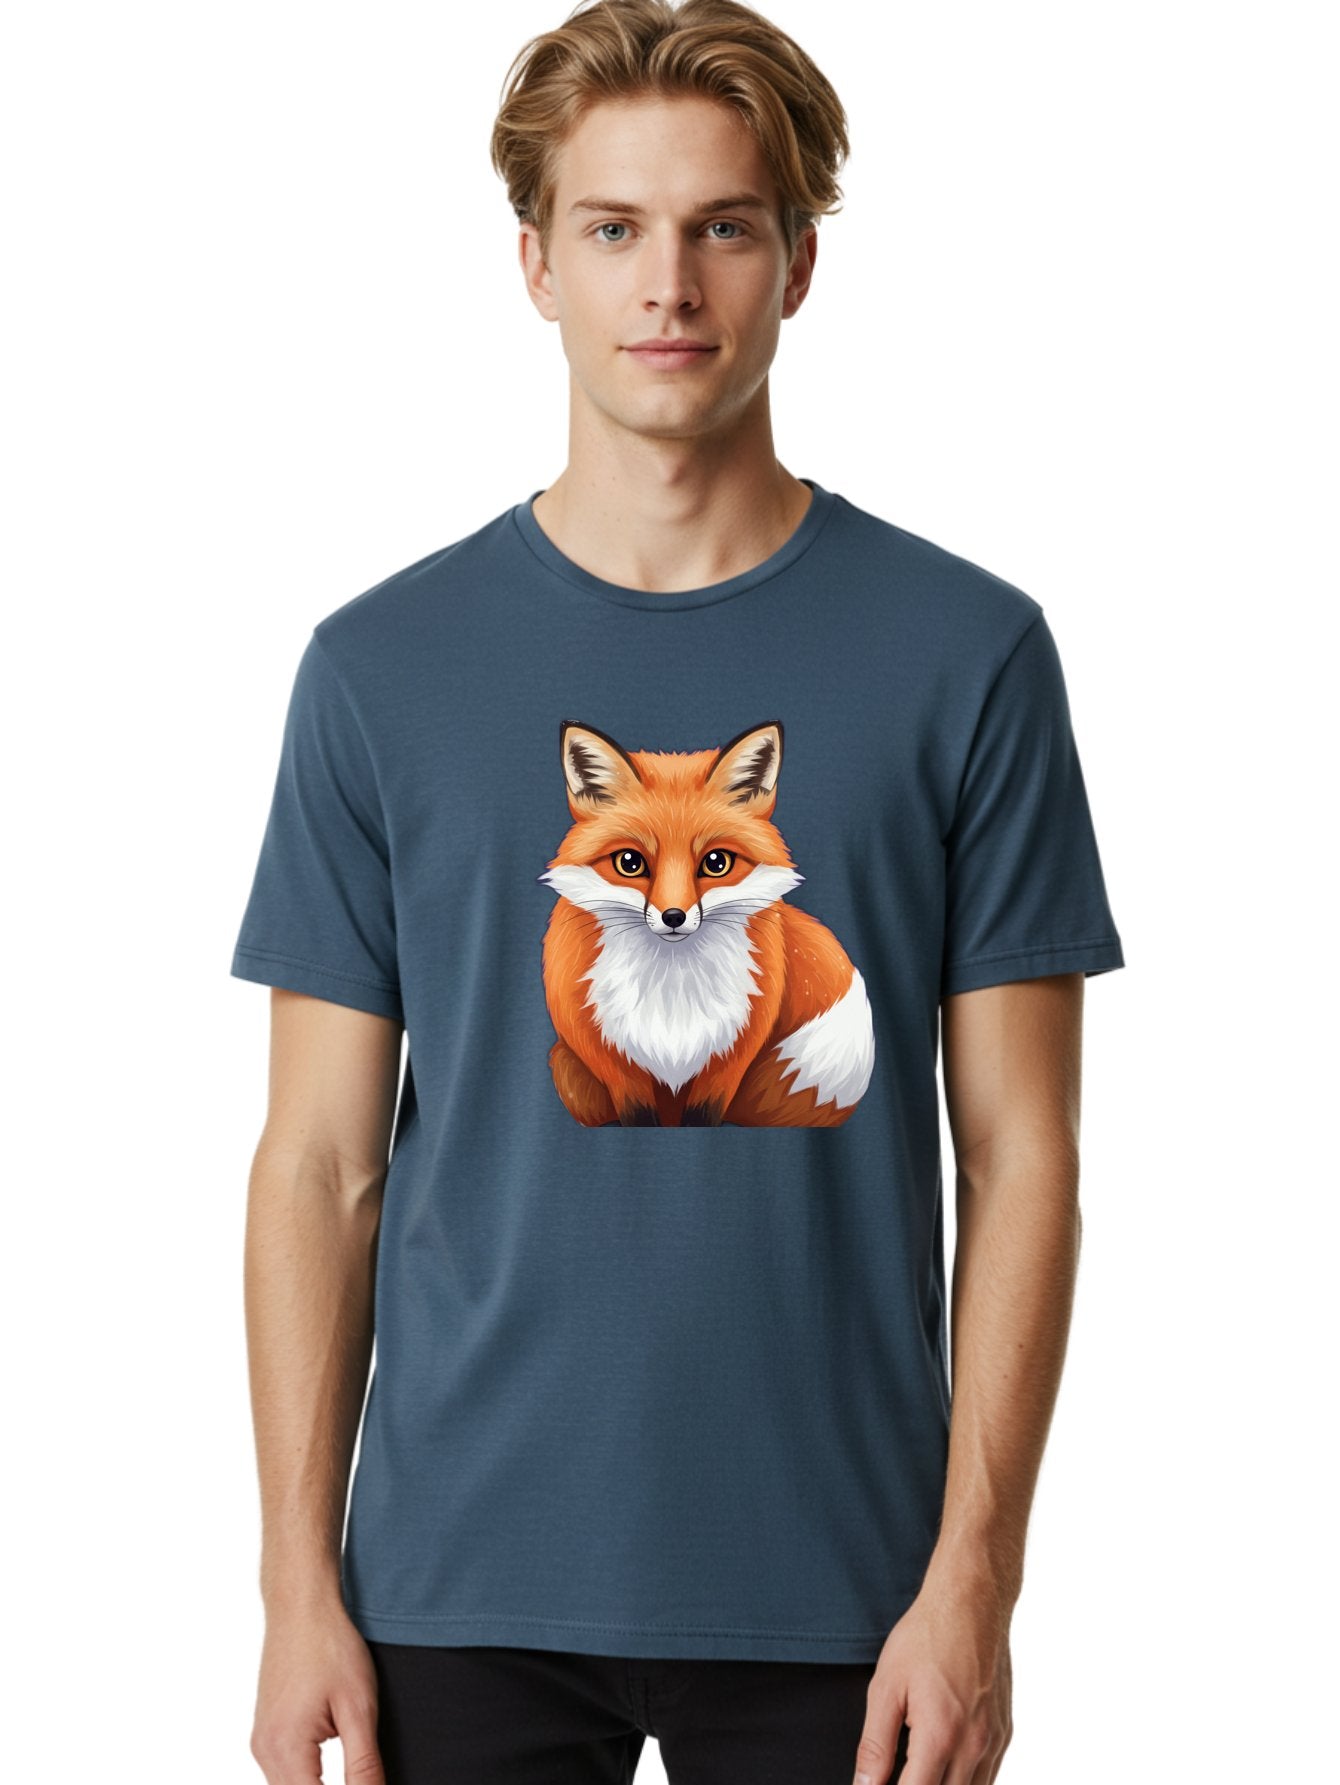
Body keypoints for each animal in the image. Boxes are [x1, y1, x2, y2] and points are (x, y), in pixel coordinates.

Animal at [537, 718, 875, 1127]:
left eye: (716, 863)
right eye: (629, 863)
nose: (673, 916)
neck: (671, 994)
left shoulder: (731, 1059)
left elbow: (704, 1114)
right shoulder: (612, 1063)